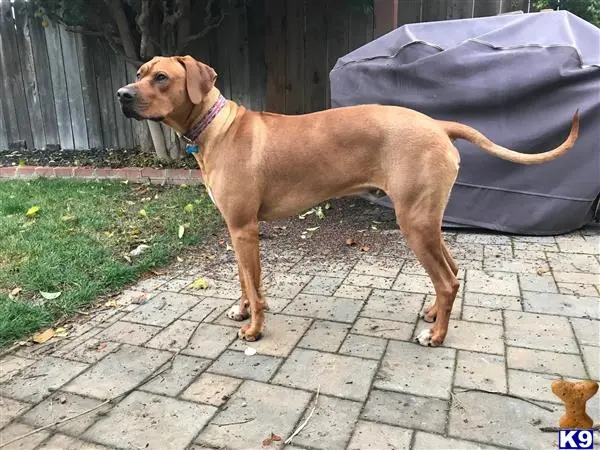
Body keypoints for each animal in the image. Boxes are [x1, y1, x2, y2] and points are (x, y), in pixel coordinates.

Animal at [115, 55, 580, 344]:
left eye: (161, 77)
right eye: (140, 72)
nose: (122, 94)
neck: (216, 126)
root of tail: (438, 125)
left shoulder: (245, 230)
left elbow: (256, 284)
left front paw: (255, 329)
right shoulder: (234, 230)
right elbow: (244, 280)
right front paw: (242, 311)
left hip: (414, 222)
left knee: (446, 279)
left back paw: (437, 336)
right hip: (427, 220)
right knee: (453, 271)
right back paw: (434, 315)